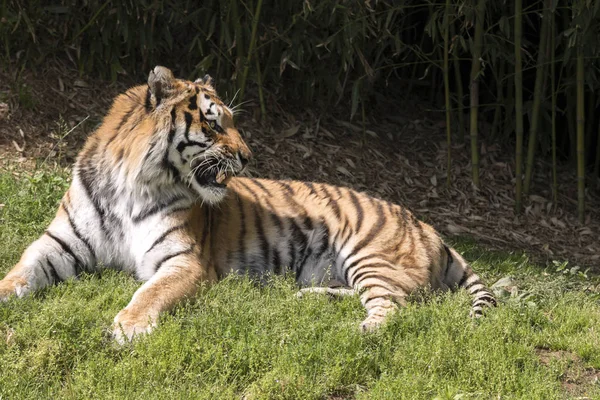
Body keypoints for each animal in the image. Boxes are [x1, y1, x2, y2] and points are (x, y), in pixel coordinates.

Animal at [0, 67, 496, 342]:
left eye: (233, 121)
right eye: (214, 124)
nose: (249, 156)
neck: (129, 186)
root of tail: (430, 228)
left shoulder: (184, 261)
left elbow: (149, 292)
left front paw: (129, 326)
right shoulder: (59, 242)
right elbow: (22, 270)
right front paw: (6, 292)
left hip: (371, 256)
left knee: (396, 309)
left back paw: (355, 332)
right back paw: (304, 298)